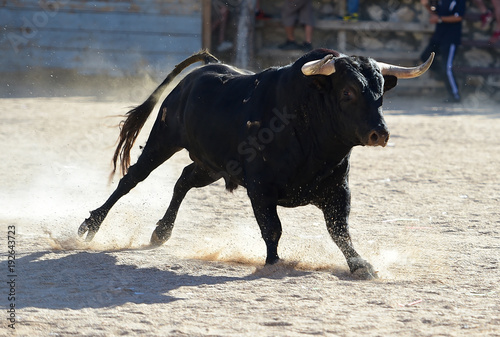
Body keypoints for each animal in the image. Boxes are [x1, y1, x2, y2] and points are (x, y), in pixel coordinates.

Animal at [79, 48, 434, 278]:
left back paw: (161, 232)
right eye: (347, 92)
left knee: (183, 180)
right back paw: (90, 225)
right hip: (163, 139)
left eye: (381, 93)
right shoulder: (261, 189)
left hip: (211, 165)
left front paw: (361, 265)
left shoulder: (338, 189)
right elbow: (272, 229)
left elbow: (339, 230)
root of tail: (209, 67)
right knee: (131, 179)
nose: (380, 133)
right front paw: (274, 263)